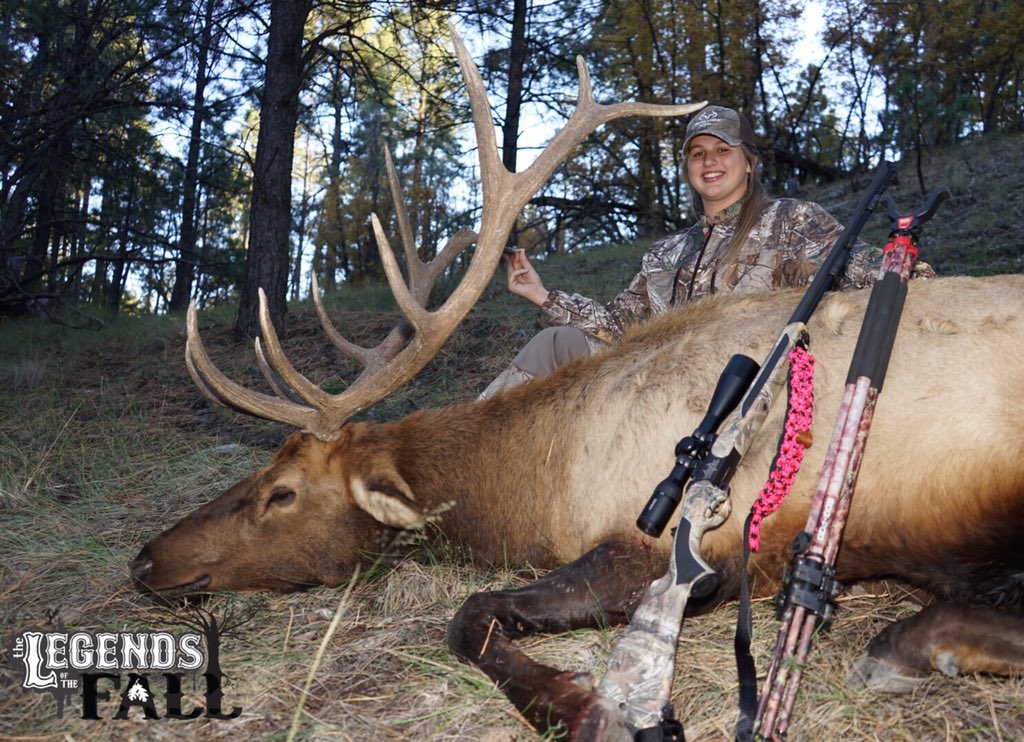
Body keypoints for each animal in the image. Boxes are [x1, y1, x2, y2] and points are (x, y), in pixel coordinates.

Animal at [130, 32, 1024, 741]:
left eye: (280, 492)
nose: (143, 560)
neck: (533, 484)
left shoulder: (660, 548)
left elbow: (469, 615)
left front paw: (587, 709)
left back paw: (903, 649)